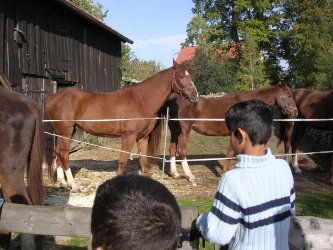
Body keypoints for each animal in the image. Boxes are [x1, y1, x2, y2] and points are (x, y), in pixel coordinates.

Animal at [45, 59, 198, 192]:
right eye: (181, 76)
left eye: (190, 75)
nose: (195, 95)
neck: (141, 100)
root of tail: (52, 98)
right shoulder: (129, 136)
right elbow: (123, 160)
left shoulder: (143, 137)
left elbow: (144, 161)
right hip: (65, 131)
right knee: (64, 154)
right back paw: (73, 185)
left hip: (65, 132)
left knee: (58, 152)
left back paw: (63, 183)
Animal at [162, 81, 296, 184]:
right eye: (289, 95)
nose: (295, 112)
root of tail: (173, 100)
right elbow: (230, 153)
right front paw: (225, 172)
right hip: (185, 131)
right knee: (181, 151)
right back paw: (190, 176)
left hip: (174, 132)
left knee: (172, 150)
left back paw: (175, 174)